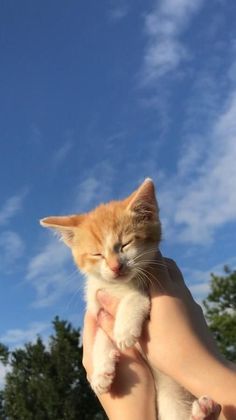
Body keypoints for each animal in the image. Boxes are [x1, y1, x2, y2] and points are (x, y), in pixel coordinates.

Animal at [40, 178, 219, 420]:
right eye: (97, 254)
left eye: (125, 244)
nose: (116, 266)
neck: (117, 287)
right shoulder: (98, 308)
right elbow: (100, 335)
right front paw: (101, 370)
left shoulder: (151, 283)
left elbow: (136, 298)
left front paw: (124, 331)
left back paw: (204, 411)